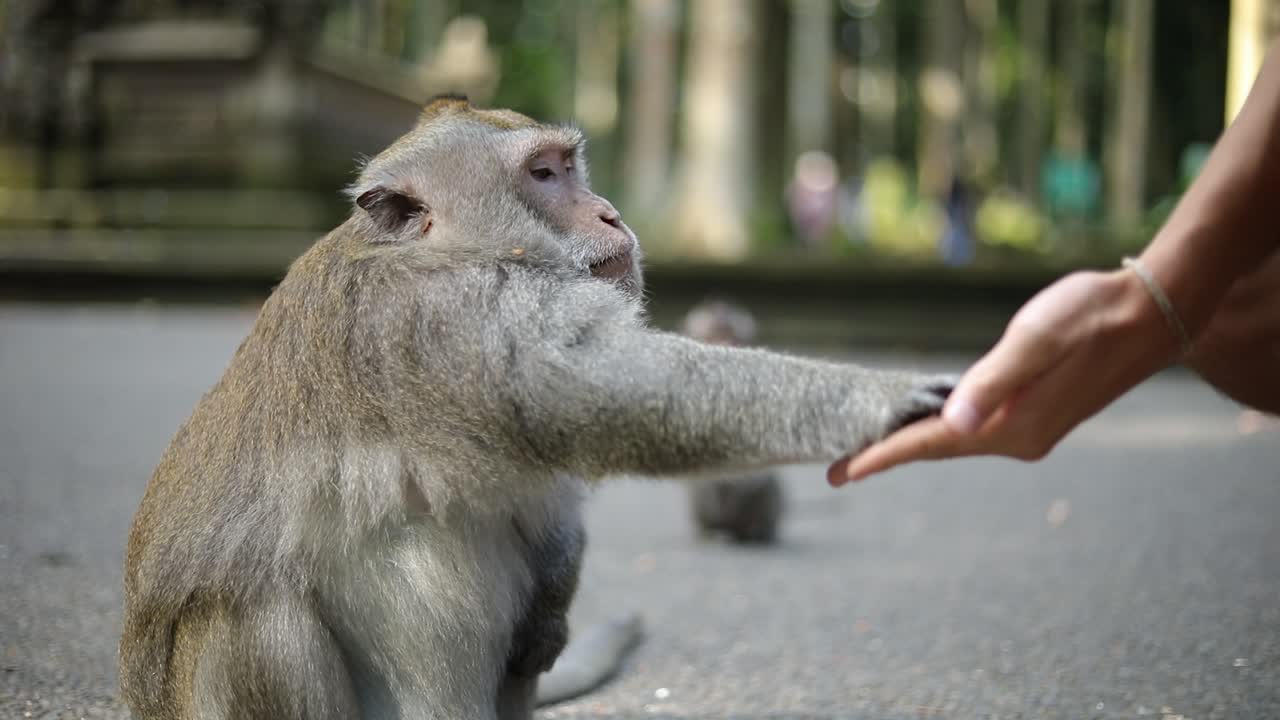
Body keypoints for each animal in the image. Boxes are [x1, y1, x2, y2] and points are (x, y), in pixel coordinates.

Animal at [680, 299, 784, 544]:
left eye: (733, 337)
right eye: (711, 336)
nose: (725, 344)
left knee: (766, 489)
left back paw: (759, 531)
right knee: (705, 493)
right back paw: (712, 532)